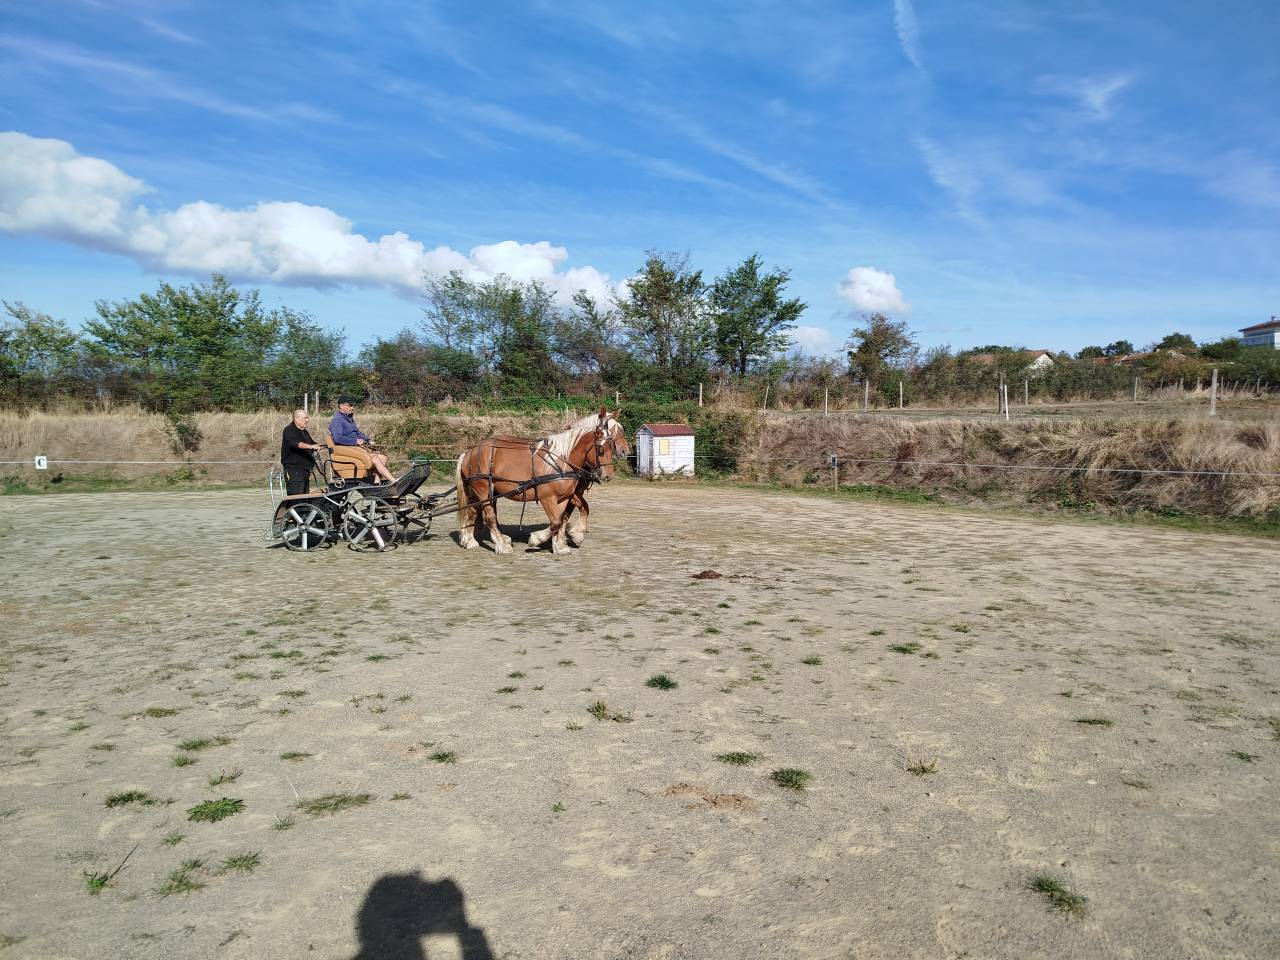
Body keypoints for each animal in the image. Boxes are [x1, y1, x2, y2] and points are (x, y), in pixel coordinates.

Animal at [454, 408, 628, 555]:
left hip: (482, 491)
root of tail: (469, 451)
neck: (562, 459)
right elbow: (557, 521)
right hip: (483, 489)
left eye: (611, 445)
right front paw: (538, 539)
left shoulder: (566, 496)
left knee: (473, 512)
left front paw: (560, 544)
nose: (608, 475)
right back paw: (501, 546)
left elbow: (566, 516)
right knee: (489, 516)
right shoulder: (547, 497)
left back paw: (472, 541)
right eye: (601, 449)